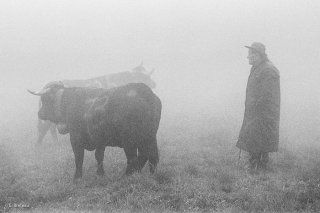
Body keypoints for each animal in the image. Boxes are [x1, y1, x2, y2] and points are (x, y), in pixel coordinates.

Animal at [28, 82, 161, 181]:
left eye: (45, 99)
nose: (39, 113)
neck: (69, 102)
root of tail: (145, 92)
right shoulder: (100, 141)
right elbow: (99, 157)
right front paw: (100, 174)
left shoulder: (76, 139)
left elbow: (79, 158)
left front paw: (77, 178)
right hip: (149, 137)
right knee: (150, 156)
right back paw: (151, 175)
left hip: (130, 141)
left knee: (134, 158)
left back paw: (127, 176)